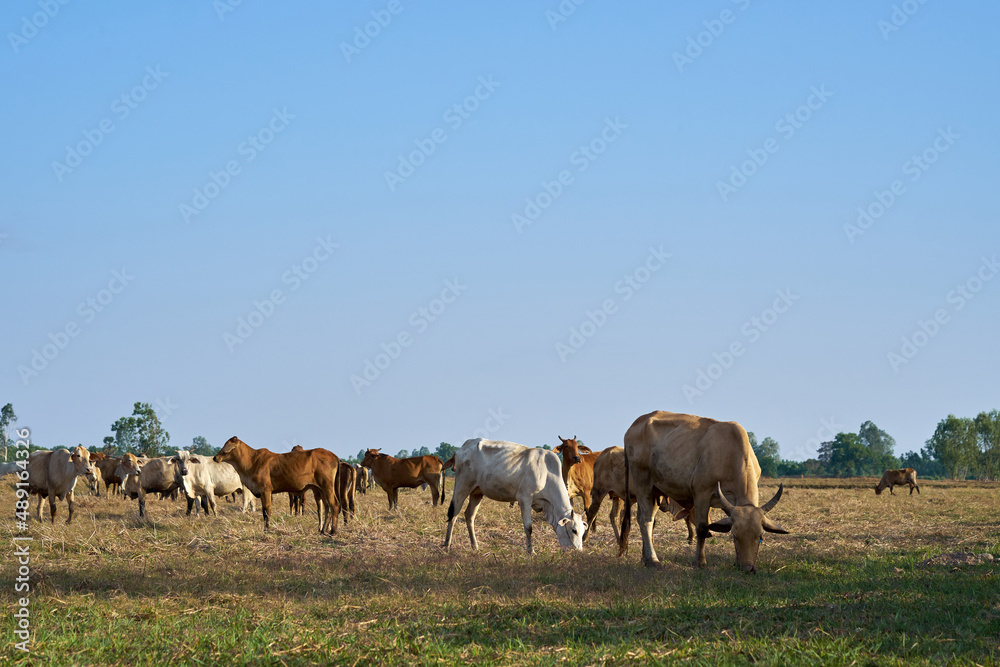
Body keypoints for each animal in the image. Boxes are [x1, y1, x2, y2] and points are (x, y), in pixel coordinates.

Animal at [215, 436, 344, 536]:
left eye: (226, 446)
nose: (215, 458)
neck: (252, 462)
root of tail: (332, 454)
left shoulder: (266, 491)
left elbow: (267, 511)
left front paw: (266, 530)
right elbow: (264, 512)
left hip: (327, 486)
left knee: (334, 505)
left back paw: (333, 531)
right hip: (320, 489)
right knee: (327, 507)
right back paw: (323, 530)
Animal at [444, 438, 584, 552]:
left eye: (583, 531)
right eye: (574, 530)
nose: (577, 551)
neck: (547, 474)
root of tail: (463, 447)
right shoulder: (525, 499)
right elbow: (528, 527)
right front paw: (531, 551)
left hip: (477, 492)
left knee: (469, 516)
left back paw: (475, 546)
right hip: (462, 487)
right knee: (453, 515)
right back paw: (447, 545)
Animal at [616, 412, 788, 576]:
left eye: (760, 537)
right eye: (734, 535)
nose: (746, 568)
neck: (730, 453)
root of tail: (635, 425)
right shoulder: (701, 495)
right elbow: (702, 528)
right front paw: (700, 562)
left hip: (656, 491)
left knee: (644, 518)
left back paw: (644, 558)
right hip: (643, 484)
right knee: (646, 520)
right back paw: (653, 560)